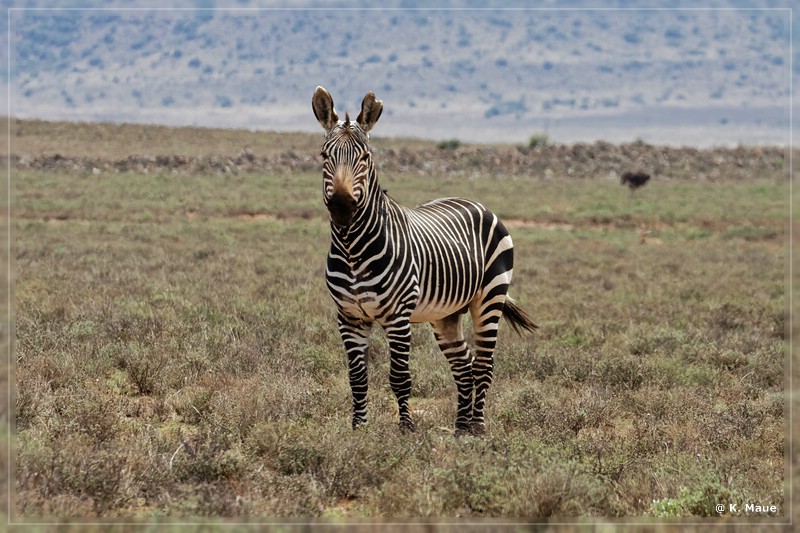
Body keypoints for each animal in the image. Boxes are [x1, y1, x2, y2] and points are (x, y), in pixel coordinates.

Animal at [312, 87, 536, 434]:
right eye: (325, 156)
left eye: (365, 157)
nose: (342, 207)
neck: (353, 249)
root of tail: (475, 202)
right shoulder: (349, 316)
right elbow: (357, 378)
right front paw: (358, 429)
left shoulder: (398, 316)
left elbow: (400, 378)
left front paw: (406, 428)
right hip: (446, 314)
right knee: (464, 365)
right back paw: (461, 430)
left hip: (489, 298)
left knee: (483, 365)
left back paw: (479, 429)